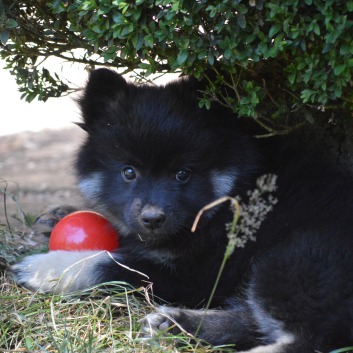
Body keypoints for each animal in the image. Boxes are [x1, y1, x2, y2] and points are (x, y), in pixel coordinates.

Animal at [12, 69, 352, 352]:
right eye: (129, 172)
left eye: (183, 174)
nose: (152, 219)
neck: (234, 196)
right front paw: (59, 215)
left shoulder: (198, 273)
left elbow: (112, 264)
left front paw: (48, 268)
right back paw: (173, 324)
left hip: (294, 260)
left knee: (307, 339)